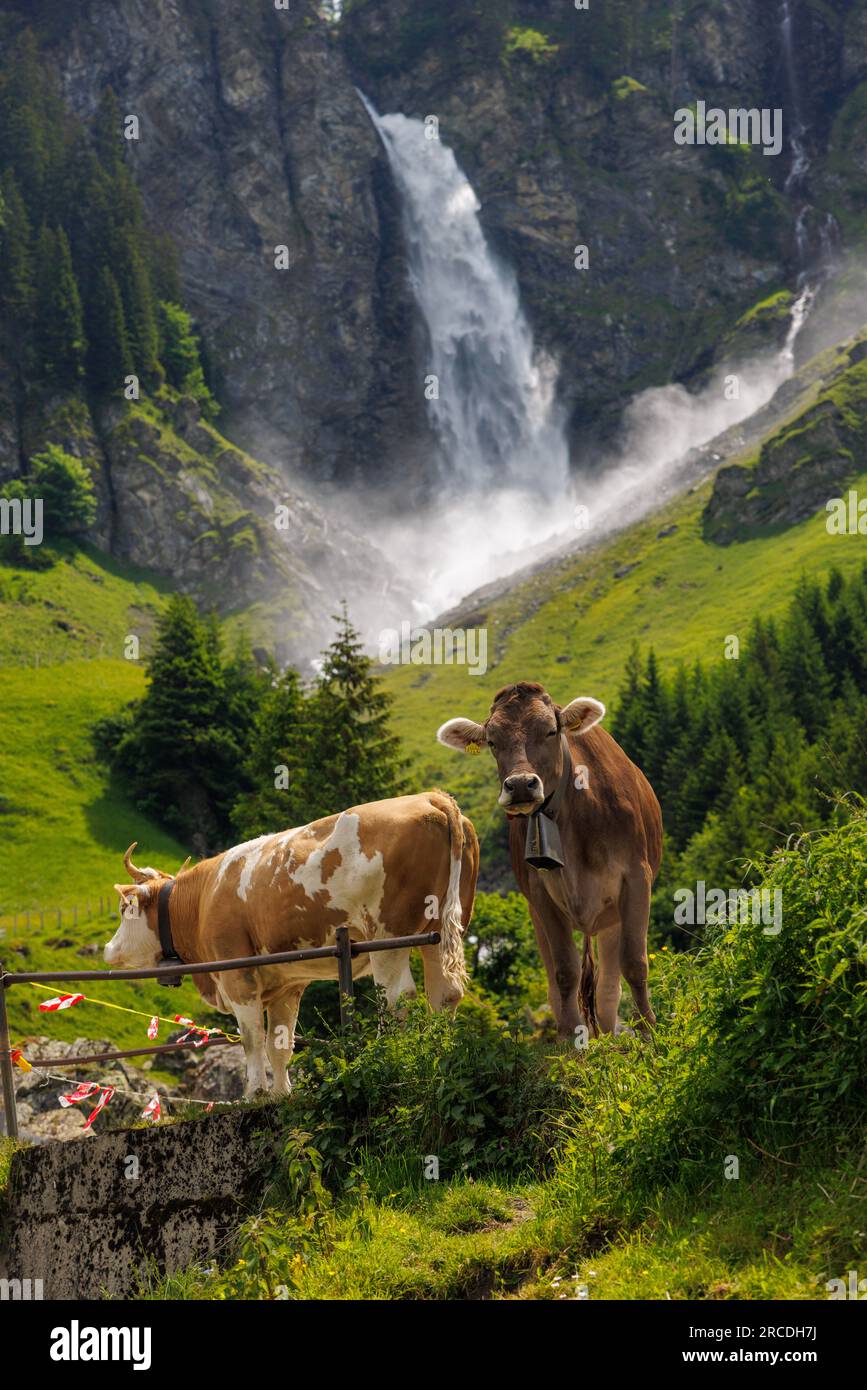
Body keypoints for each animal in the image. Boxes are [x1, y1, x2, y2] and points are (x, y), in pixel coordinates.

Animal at [105, 795, 480, 1095]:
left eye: (125, 909)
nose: (108, 949)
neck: (203, 898)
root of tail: (431, 798)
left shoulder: (237, 974)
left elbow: (252, 1037)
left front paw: (254, 1094)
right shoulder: (287, 984)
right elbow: (279, 1044)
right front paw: (283, 1094)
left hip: (387, 938)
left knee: (398, 998)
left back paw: (394, 1060)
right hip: (440, 933)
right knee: (445, 995)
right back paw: (438, 1055)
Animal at [436, 683, 661, 1045]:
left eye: (551, 731)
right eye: (492, 741)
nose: (520, 785)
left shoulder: (637, 878)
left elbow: (634, 963)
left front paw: (650, 1036)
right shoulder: (541, 895)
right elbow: (564, 972)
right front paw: (571, 1044)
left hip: (611, 916)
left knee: (608, 985)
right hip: (539, 915)